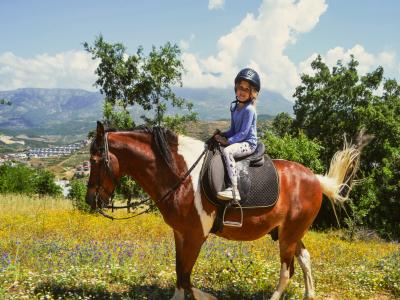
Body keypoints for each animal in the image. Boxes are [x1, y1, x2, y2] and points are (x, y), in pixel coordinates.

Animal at [86, 122, 364, 300]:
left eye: (95, 160)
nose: (91, 200)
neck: (181, 174)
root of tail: (316, 180)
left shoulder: (196, 235)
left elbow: (186, 276)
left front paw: (208, 297)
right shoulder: (180, 233)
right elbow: (179, 273)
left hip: (288, 235)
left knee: (287, 271)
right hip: (289, 232)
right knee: (304, 258)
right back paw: (309, 294)